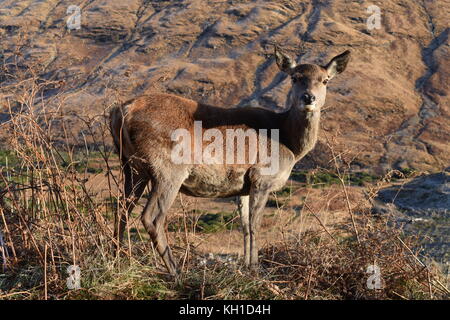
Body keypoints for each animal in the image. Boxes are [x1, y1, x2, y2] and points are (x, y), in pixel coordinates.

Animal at [110, 46, 352, 276]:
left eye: (325, 80)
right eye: (294, 77)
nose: (308, 98)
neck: (288, 142)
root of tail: (123, 112)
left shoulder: (242, 187)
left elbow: (244, 226)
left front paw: (246, 267)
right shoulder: (262, 177)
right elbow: (255, 225)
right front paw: (256, 268)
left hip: (131, 166)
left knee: (121, 209)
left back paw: (116, 261)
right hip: (168, 169)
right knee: (151, 217)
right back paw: (176, 271)